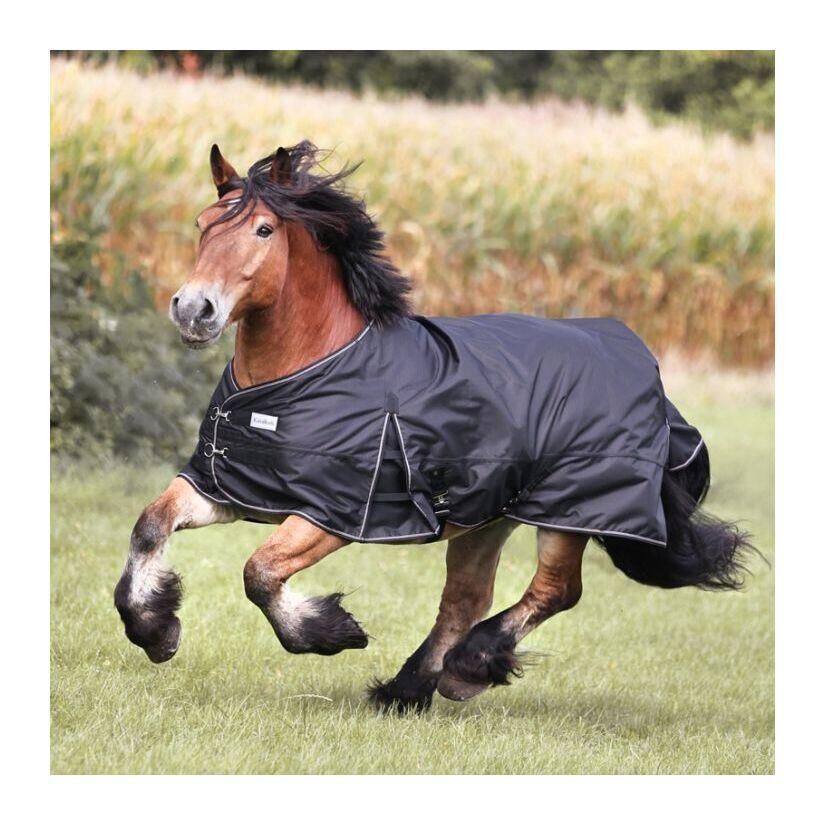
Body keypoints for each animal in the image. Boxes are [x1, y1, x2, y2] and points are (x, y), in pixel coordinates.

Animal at [114, 142, 754, 713]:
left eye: (264, 230)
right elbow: (150, 525)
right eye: (202, 224)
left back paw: (467, 668)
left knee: (554, 591)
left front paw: (333, 632)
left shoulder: (335, 512)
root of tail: (641, 358)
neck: (301, 377)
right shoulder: (230, 489)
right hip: (488, 516)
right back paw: (409, 689)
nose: (193, 309)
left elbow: (260, 573)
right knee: (465, 599)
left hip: (568, 511)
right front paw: (155, 631)